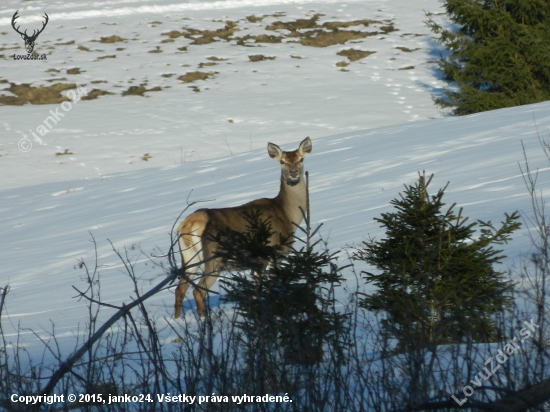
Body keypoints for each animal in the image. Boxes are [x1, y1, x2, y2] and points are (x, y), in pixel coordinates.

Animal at [177, 137, 314, 318]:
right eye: (282, 161)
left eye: (301, 159)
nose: (293, 173)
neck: (287, 215)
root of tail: (189, 224)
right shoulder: (273, 252)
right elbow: (267, 289)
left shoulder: (257, 262)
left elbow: (255, 292)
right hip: (213, 256)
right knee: (198, 290)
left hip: (189, 257)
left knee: (180, 288)